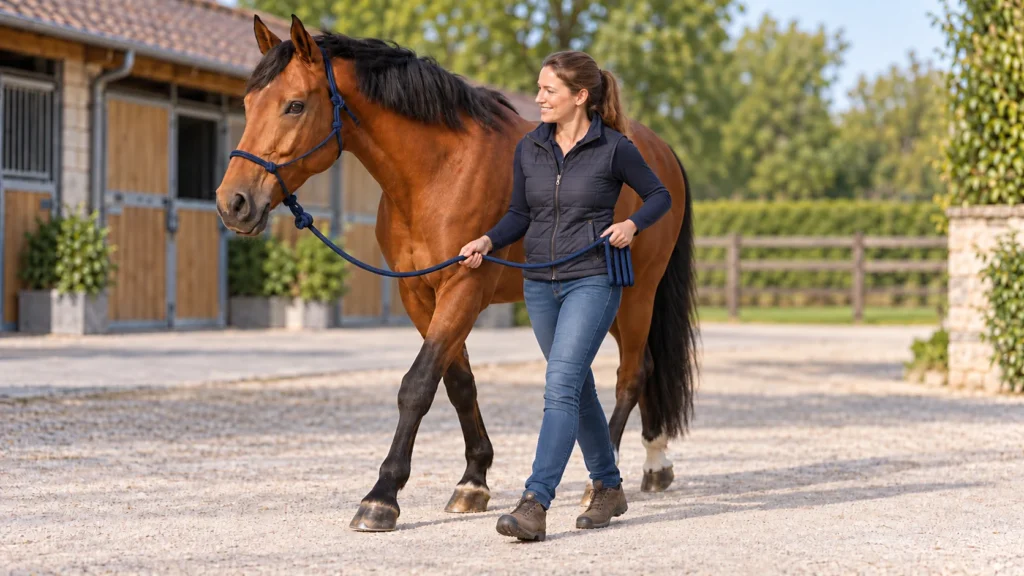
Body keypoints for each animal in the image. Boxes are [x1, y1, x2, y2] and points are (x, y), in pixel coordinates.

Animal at [215, 14, 699, 532]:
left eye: (295, 105)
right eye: (248, 104)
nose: (233, 203)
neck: (439, 171)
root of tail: (661, 151)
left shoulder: (464, 285)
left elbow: (417, 385)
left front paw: (381, 497)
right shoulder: (421, 294)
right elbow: (457, 383)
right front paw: (473, 482)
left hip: (636, 294)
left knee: (631, 374)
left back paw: (603, 480)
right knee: (645, 369)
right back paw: (656, 465)